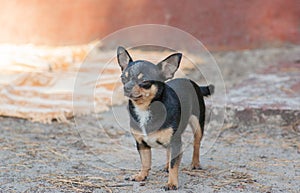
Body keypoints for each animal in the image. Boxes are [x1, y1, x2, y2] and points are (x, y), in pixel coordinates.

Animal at [117, 46, 213, 190]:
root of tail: (190, 81)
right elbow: (145, 161)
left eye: (144, 81)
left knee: (196, 143)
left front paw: (172, 183)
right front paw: (142, 175)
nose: (126, 87)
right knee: (168, 150)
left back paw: (195, 163)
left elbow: (174, 164)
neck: (145, 109)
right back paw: (166, 166)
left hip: (197, 123)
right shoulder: (142, 143)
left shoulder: (176, 142)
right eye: (123, 78)